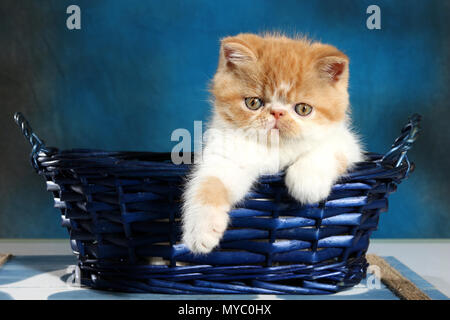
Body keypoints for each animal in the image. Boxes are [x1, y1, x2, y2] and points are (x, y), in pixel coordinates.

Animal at [179, 33, 362, 254]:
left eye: (303, 109)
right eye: (253, 103)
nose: (277, 112)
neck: (276, 148)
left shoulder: (346, 141)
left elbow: (328, 148)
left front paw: (307, 182)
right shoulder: (226, 154)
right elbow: (210, 181)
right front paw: (201, 229)